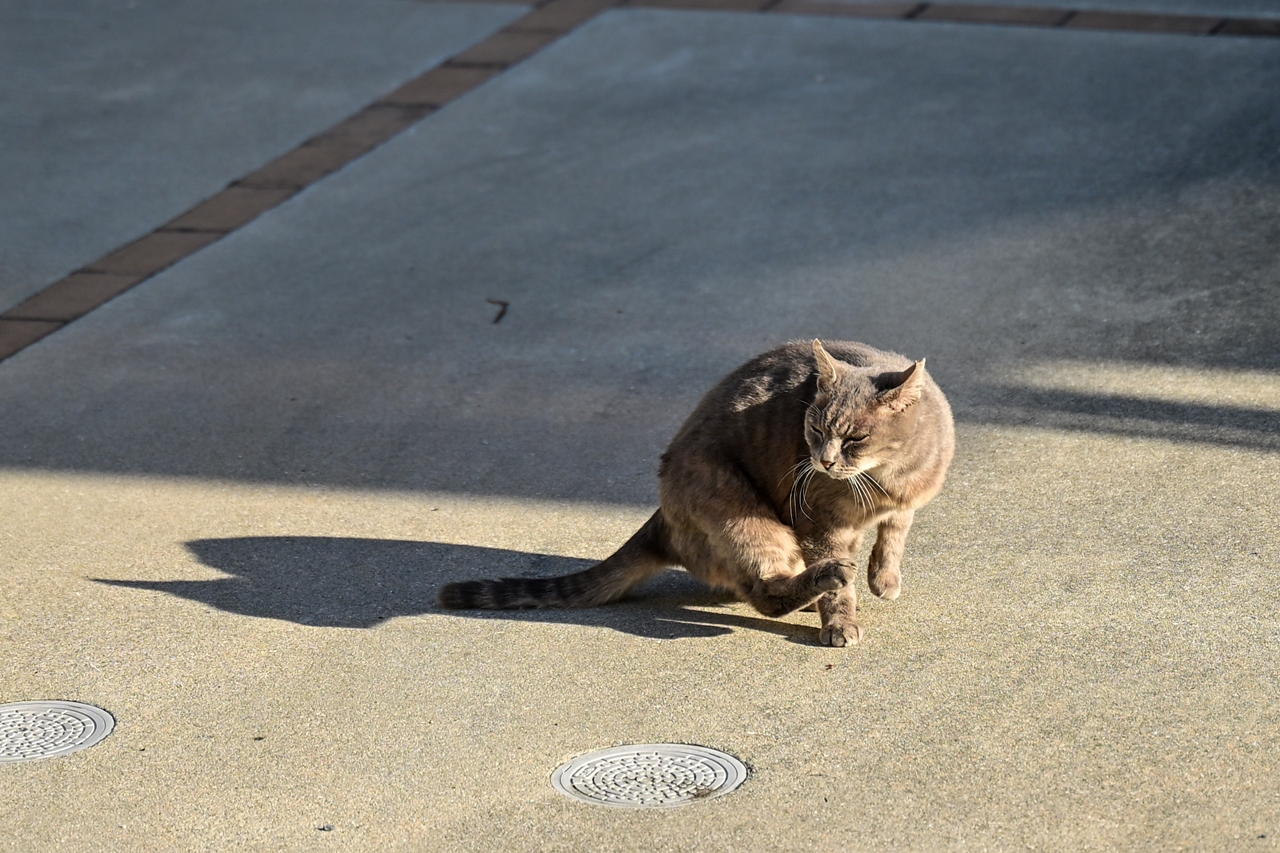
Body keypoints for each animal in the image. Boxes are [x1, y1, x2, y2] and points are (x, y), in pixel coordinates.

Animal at [437, 338, 952, 645]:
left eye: (855, 438)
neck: (886, 480)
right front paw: (841, 620)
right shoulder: (818, 523)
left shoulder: (904, 506)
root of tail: (660, 516)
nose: (822, 460)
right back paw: (826, 577)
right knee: (766, 592)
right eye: (815, 428)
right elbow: (838, 584)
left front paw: (884, 579)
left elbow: (895, 535)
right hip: (741, 510)